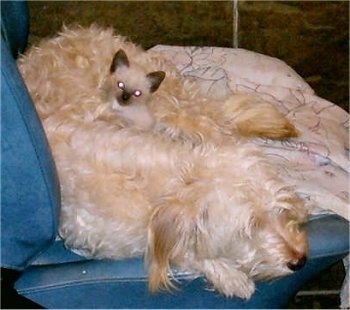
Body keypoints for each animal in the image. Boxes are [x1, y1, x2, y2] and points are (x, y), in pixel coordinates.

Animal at [17, 25, 306, 300]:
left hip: (171, 106)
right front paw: (230, 276)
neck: (180, 180)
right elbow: (182, 252)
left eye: (280, 210)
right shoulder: (93, 232)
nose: (300, 261)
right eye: (250, 227)